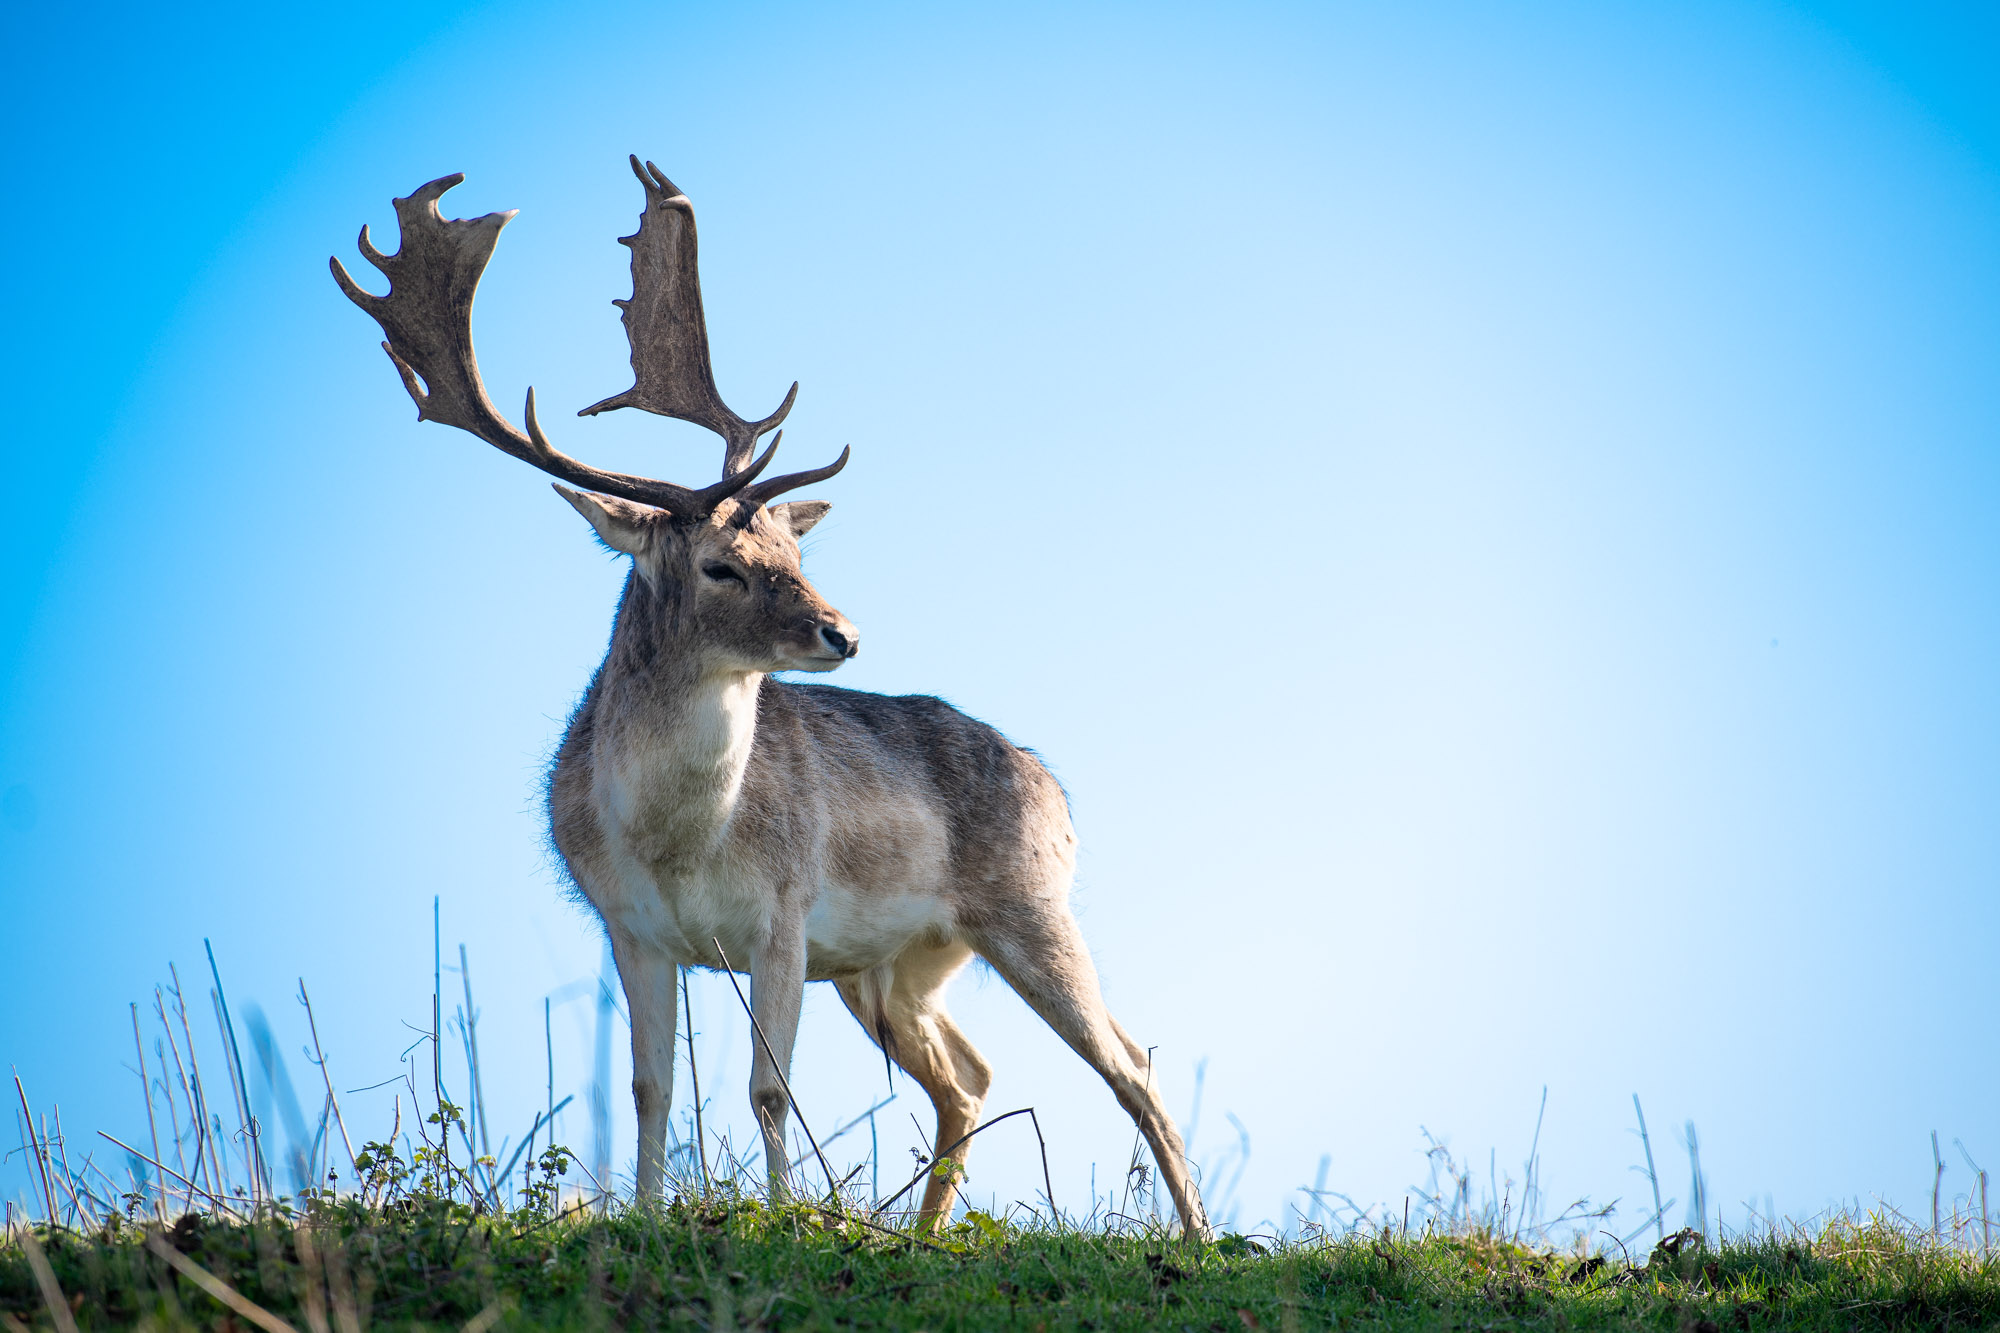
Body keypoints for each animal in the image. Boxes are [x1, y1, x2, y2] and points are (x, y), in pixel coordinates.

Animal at [334, 158, 1208, 1232]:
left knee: (1133, 1064)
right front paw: (652, 1215)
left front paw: (787, 1217)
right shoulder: (629, 925)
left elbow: (767, 1088)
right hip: (897, 966)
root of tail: (1058, 790)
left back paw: (1203, 1238)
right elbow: (650, 1085)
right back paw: (926, 1236)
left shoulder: (785, 913)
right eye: (722, 564)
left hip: (1031, 905)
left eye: (795, 553)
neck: (676, 842)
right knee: (970, 1074)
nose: (844, 632)